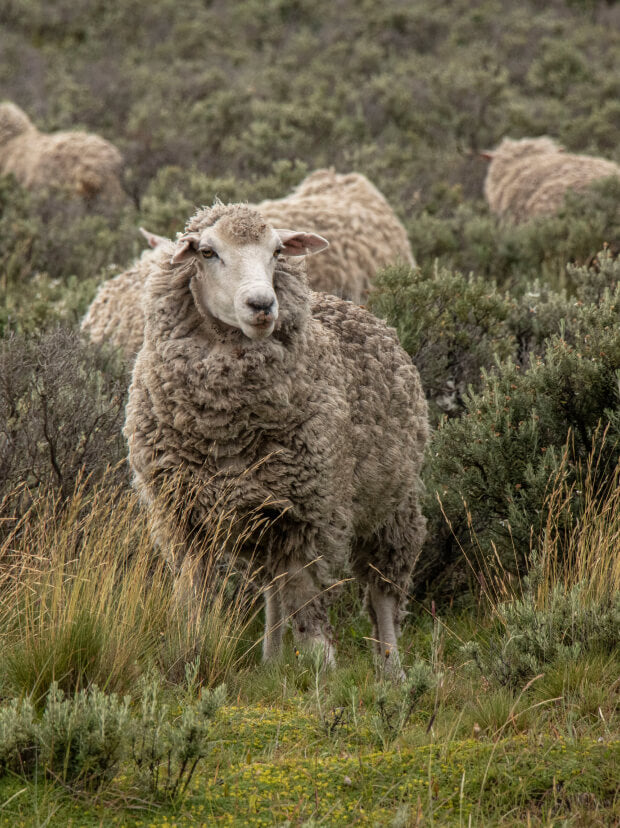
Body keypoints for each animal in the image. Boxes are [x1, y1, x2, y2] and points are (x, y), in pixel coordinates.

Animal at [123, 201, 428, 672]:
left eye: (277, 250)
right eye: (207, 252)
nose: (263, 304)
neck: (225, 429)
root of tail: (355, 306)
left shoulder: (310, 513)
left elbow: (306, 597)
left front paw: (322, 665)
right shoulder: (186, 517)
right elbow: (196, 594)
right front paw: (191, 649)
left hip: (393, 502)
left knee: (382, 591)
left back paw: (392, 669)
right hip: (265, 519)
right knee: (273, 590)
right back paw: (270, 659)